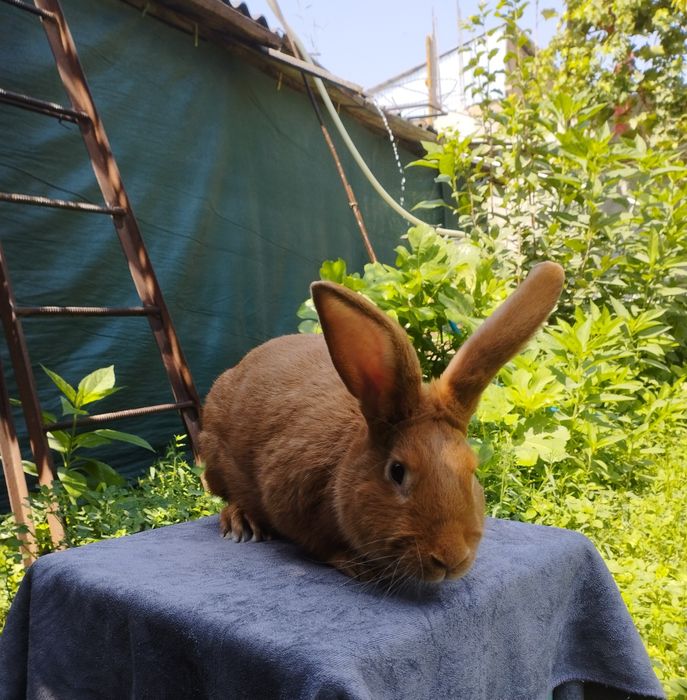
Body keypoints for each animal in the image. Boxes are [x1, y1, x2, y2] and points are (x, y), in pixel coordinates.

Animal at [200, 261, 564, 584]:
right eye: (397, 471)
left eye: (472, 470)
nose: (450, 558)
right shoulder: (288, 496)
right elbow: (317, 543)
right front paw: (356, 566)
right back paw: (240, 523)